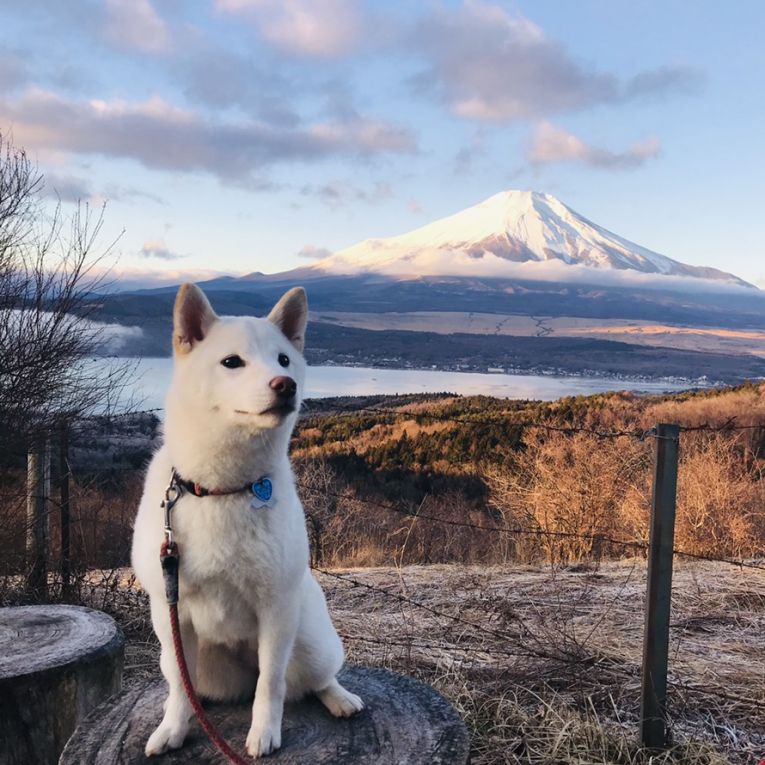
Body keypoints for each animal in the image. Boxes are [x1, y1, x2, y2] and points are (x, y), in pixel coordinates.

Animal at [132, 284, 364, 756]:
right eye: (231, 362)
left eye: (284, 360)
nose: (285, 385)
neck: (222, 490)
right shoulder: (170, 612)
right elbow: (180, 686)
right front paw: (173, 727)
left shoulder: (275, 610)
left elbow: (271, 684)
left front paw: (264, 733)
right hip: (189, 659)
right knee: (190, 684)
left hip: (308, 641)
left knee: (311, 680)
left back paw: (340, 698)